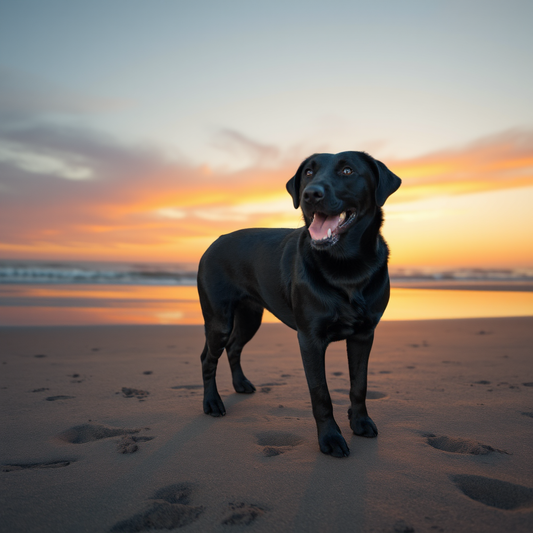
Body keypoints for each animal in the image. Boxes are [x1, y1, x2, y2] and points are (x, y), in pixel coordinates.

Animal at [198, 151, 400, 458]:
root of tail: (213, 242)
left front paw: (360, 422)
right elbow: (321, 394)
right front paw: (330, 438)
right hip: (219, 320)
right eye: (307, 173)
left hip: (250, 317)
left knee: (234, 348)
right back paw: (212, 403)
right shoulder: (310, 339)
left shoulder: (364, 335)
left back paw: (241, 384)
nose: (310, 194)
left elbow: (359, 385)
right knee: (208, 358)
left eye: (348, 170)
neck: (346, 268)